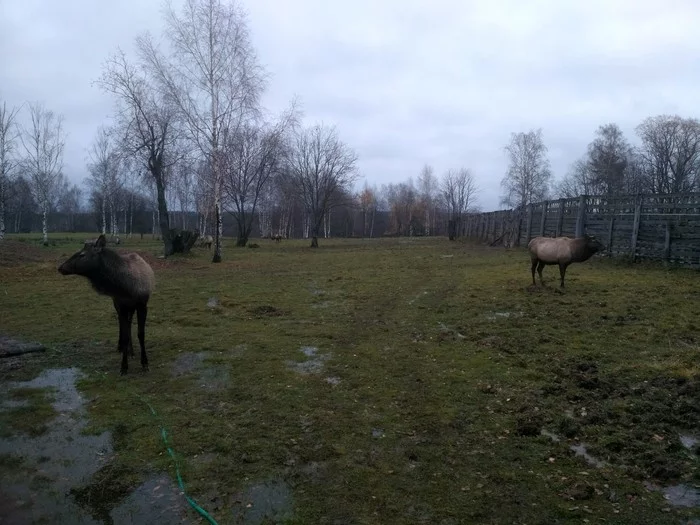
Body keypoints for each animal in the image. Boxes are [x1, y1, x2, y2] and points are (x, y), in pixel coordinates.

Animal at [58, 233, 155, 372]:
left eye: (82, 254)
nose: (60, 267)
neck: (126, 288)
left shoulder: (142, 304)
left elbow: (141, 334)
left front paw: (145, 363)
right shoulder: (121, 305)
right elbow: (125, 335)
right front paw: (124, 366)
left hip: (131, 307)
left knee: (128, 324)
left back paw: (130, 350)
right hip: (118, 305)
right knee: (123, 324)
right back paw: (123, 348)